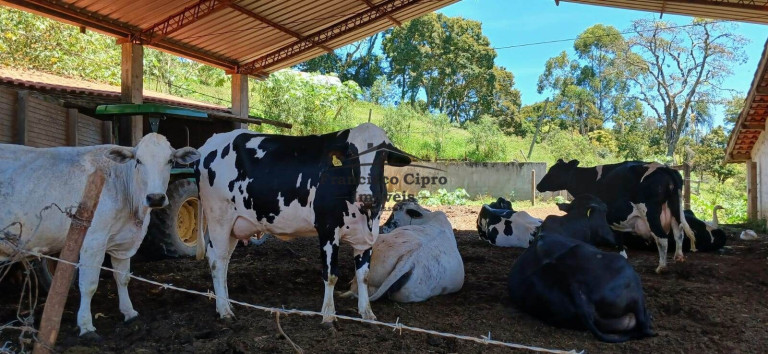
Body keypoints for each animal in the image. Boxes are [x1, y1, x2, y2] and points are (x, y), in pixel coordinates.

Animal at [0, 133, 201, 338]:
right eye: (138, 160)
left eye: (170, 160)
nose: (155, 198)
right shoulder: (92, 241)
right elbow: (89, 284)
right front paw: (86, 326)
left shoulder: (124, 244)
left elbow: (123, 277)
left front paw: (129, 313)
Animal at [195, 123, 412, 322]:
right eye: (350, 153)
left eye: (382, 155)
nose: (366, 197)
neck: (365, 214)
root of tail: (210, 142)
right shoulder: (327, 229)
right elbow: (331, 275)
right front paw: (328, 315)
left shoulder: (367, 236)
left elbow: (363, 276)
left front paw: (366, 312)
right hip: (218, 217)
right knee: (217, 261)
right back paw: (224, 310)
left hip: (234, 226)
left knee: (224, 260)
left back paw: (227, 303)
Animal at [536, 160, 696, 274]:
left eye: (553, 172)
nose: (538, 186)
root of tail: (665, 168)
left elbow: (615, 236)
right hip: (675, 209)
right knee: (679, 232)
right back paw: (678, 257)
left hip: (651, 213)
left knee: (662, 238)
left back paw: (661, 267)